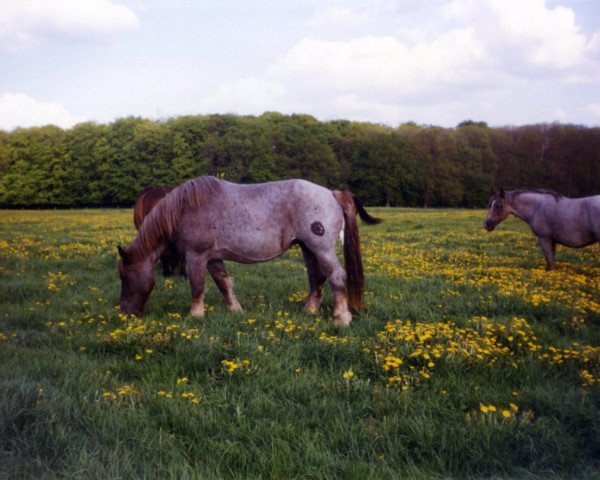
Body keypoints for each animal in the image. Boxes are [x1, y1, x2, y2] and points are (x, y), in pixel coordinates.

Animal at [118, 176, 382, 326]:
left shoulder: (196, 256)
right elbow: (223, 283)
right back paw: (309, 312)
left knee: (336, 277)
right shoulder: (213, 258)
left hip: (322, 249)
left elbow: (197, 285)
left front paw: (195, 315)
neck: (184, 208)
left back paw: (341, 318)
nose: (125, 313)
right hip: (308, 249)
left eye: (124, 276)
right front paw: (235, 310)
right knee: (316, 279)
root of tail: (332, 194)